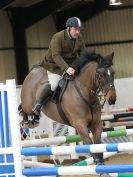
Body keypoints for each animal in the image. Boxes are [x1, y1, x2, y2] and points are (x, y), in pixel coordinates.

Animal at [18, 49, 116, 177]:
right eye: (100, 75)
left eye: (113, 73)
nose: (112, 98)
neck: (85, 94)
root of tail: (33, 71)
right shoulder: (80, 125)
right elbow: (89, 144)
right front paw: (99, 165)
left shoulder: (96, 125)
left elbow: (98, 145)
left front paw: (103, 168)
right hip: (28, 104)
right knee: (23, 108)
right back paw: (28, 121)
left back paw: (34, 119)